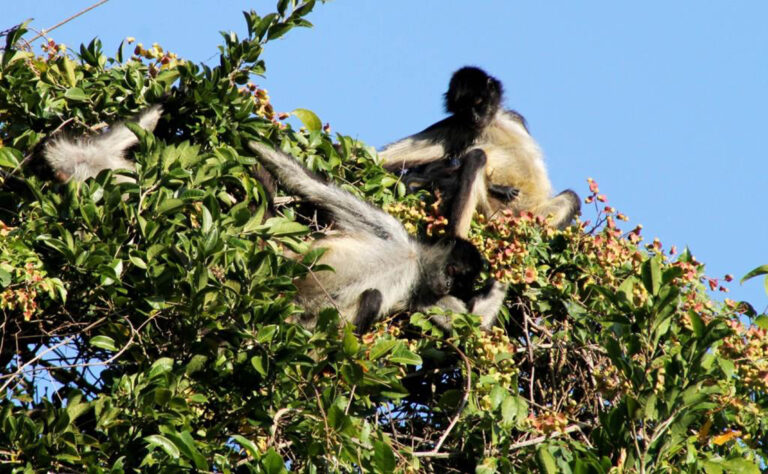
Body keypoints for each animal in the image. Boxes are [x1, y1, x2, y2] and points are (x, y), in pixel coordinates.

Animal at [380, 66, 580, 237]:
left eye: (478, 103)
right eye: (463, 109)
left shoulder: (513, 117)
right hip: (490, 213)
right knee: (476, 157)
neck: (490, 124)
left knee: (572, 197)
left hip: (531, 215)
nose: (474, 117)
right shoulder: (457, 125)